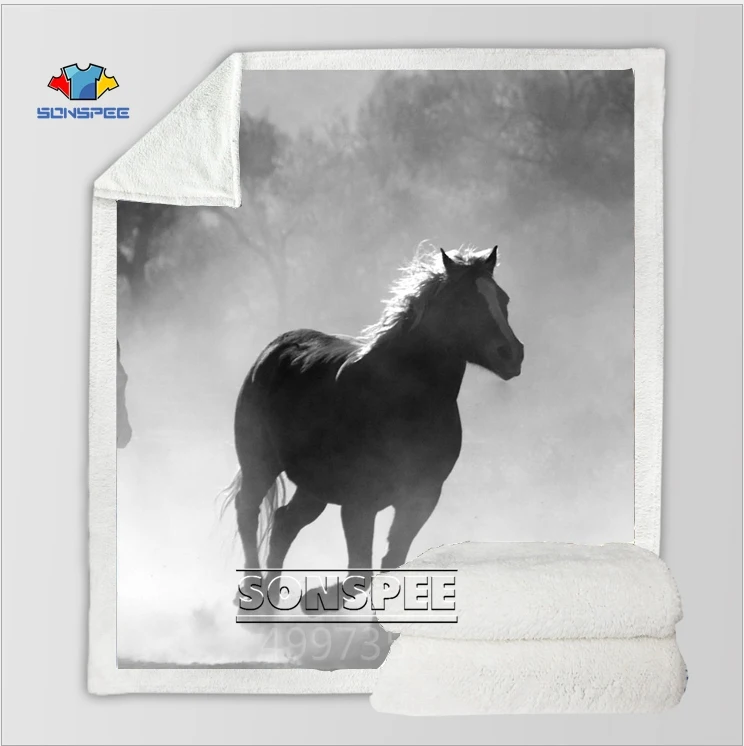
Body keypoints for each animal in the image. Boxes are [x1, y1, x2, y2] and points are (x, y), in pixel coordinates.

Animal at [222, 245, 524, 601]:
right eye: (465, 302)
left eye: (503, 299)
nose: (512, 354)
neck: (402, 402)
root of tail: (274, 349)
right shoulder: (358, 504)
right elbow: (359, 571)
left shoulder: (421, 498)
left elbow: (391, 562)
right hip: (260, 464)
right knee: (248, 511)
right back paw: (253, 593)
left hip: (314, 487)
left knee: (284, 524)